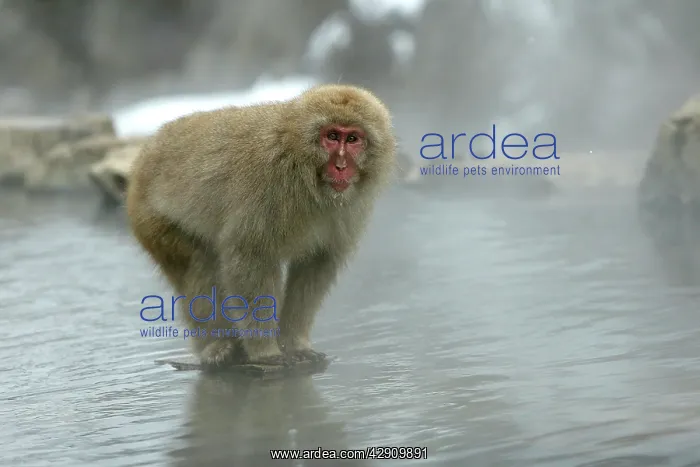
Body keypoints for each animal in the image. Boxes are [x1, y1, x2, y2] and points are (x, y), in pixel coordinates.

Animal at [126, 84, 397, 368]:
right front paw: (265, 351)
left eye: (353, 139)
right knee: (197, 265)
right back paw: (216, 345)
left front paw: (295, 343)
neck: (302, 168)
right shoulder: (269, 183)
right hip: (151, 220)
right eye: (332, 136)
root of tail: (144, 154)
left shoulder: (348, 210)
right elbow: (249, 260)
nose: (341, 166)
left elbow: (317, 266)